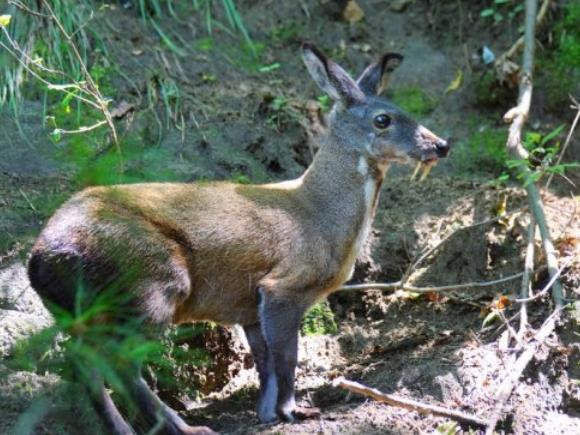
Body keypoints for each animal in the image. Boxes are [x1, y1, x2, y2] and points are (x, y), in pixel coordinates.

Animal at [28, 45, 448, 435]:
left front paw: (267, 413)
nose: (441, 145)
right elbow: (287, 357)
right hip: (150, 280)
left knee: (84, 363)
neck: (320, 217)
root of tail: (40, 258)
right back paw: (185, 427)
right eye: (383, 119)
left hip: (82, 310)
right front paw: (294, 411)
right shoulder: (284, 285)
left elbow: (265, 363)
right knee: (119, 362)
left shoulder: (247, 305)